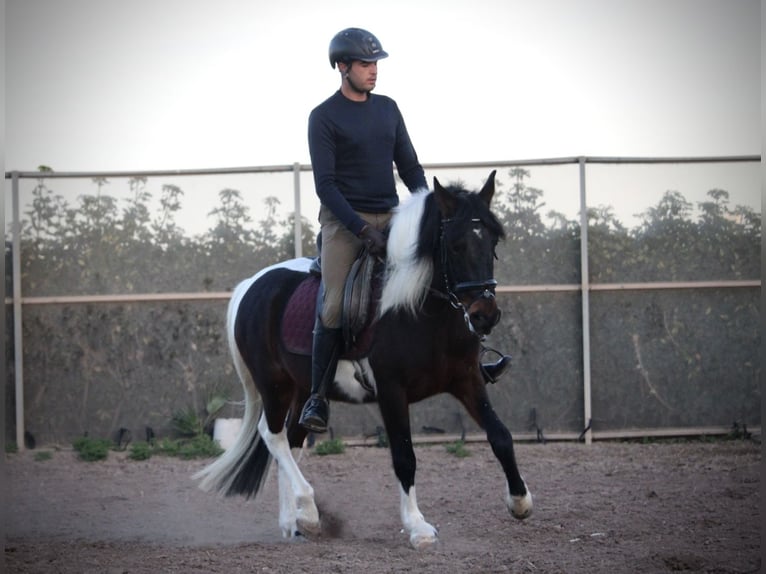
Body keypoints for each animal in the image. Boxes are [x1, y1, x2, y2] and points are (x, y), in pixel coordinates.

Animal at [194, 170, 536, 548]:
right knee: (274, 437)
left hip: (301, 390)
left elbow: (500, 435)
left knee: (292, 440)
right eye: (455, 245)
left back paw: (294, 524)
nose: (484, 316)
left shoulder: (467, 380)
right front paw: (417, 526)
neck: (420, 309)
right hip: (274, 385)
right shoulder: (391, 391)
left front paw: (520, 501)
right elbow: (404, 456)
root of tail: (250, 285)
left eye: (493, 242)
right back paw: (308, 512)